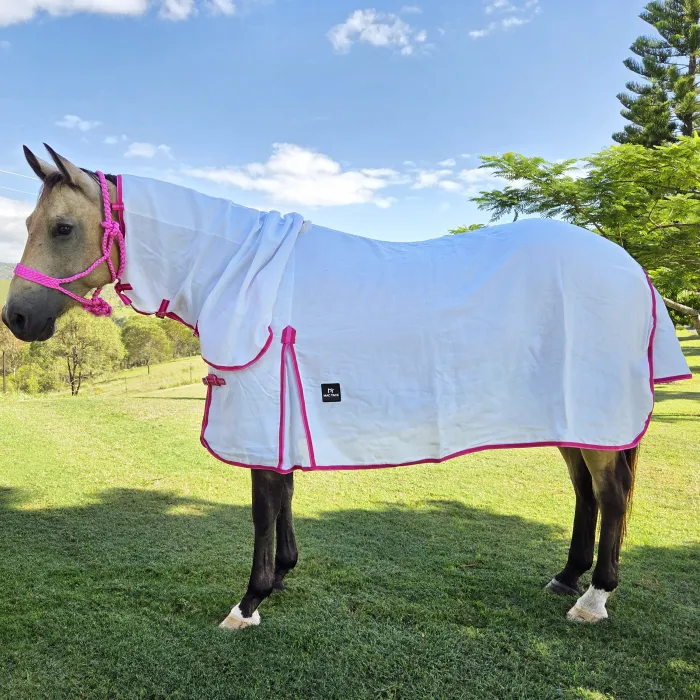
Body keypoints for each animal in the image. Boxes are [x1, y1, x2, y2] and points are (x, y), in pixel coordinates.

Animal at [2, 145, 691, 629]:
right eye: (30, 221)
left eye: (62, 227)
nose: (16, 319)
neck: (235, 268)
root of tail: (630, 267)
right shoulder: (278, 413)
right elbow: (281, 495)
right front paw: (280, 578)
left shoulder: (261, 409)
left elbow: (264, 504)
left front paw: (248, 603)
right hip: (573, 414)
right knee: (588, 494)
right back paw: (566, 578)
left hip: (596, 415)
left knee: (614, 497)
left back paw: (593, 599)